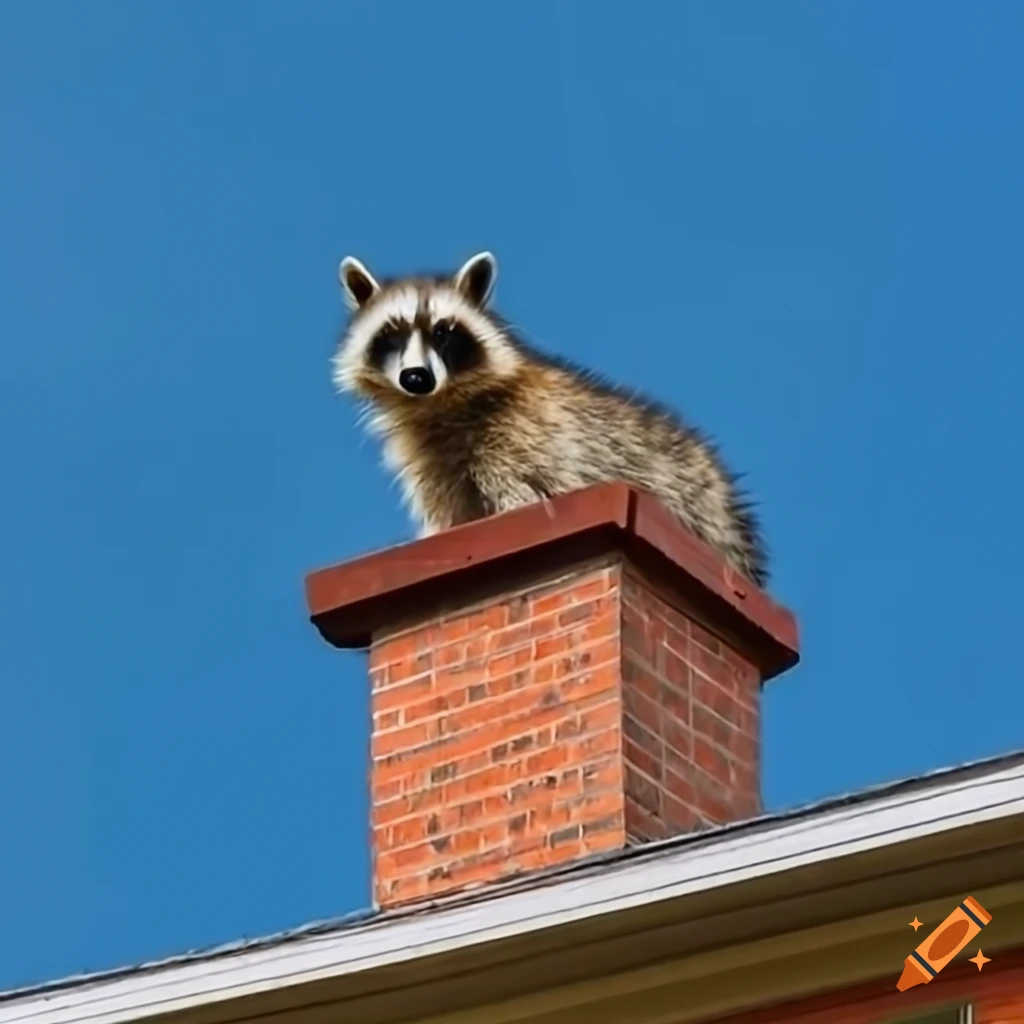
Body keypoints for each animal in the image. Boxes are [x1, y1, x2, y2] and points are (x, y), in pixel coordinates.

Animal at [332, 251, 769, 588]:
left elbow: (522, 496)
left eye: (443, 333)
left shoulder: (519, 437)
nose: (416, 378)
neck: (439, 405)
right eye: (392, 335)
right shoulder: (433, 462)